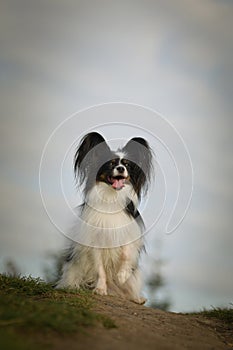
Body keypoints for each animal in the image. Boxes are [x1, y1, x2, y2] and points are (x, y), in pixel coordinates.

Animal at [57, 132, 153, 304]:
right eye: (110, 164)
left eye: (127, 165)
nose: (120, 168)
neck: (111, 198)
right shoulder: (95, 241)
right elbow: (100, 269)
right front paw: (100, 289)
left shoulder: (130, 231)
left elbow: (126, 253)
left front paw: (122, 275)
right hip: (73, 266)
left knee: (127, 290)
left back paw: (136, 298)